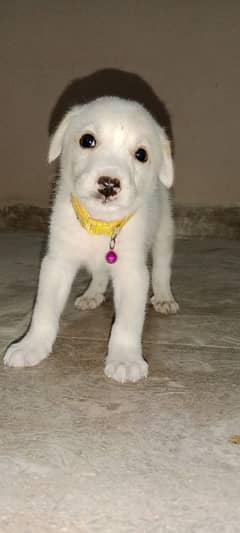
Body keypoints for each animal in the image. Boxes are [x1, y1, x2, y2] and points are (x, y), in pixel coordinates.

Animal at [3, 96, 179, 382]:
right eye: (88, 140)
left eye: (141, 154)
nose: (108, 184)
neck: (100, 225)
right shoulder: (57, 264)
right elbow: (44, 311)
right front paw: (31, 346)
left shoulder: (132, 273)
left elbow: (126, 323)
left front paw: (125, 359)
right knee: (100, 273)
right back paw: (92, 294)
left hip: (164, 231)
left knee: (162, 269)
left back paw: (164, 297)